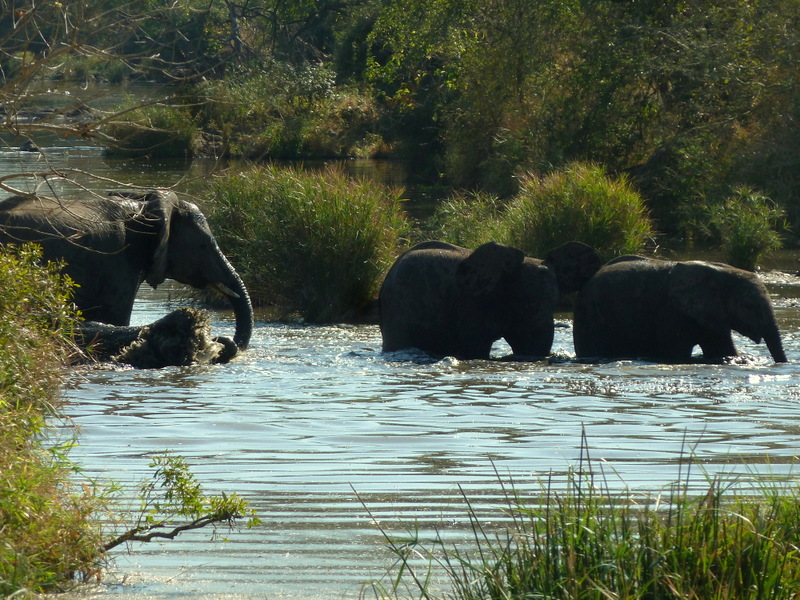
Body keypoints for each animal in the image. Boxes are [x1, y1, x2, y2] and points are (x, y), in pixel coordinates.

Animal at [573, 256, 787, 363]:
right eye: (749, 306)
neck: (720, 272)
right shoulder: (671, 310)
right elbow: (675, 353)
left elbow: (722, 350)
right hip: (590, 315)